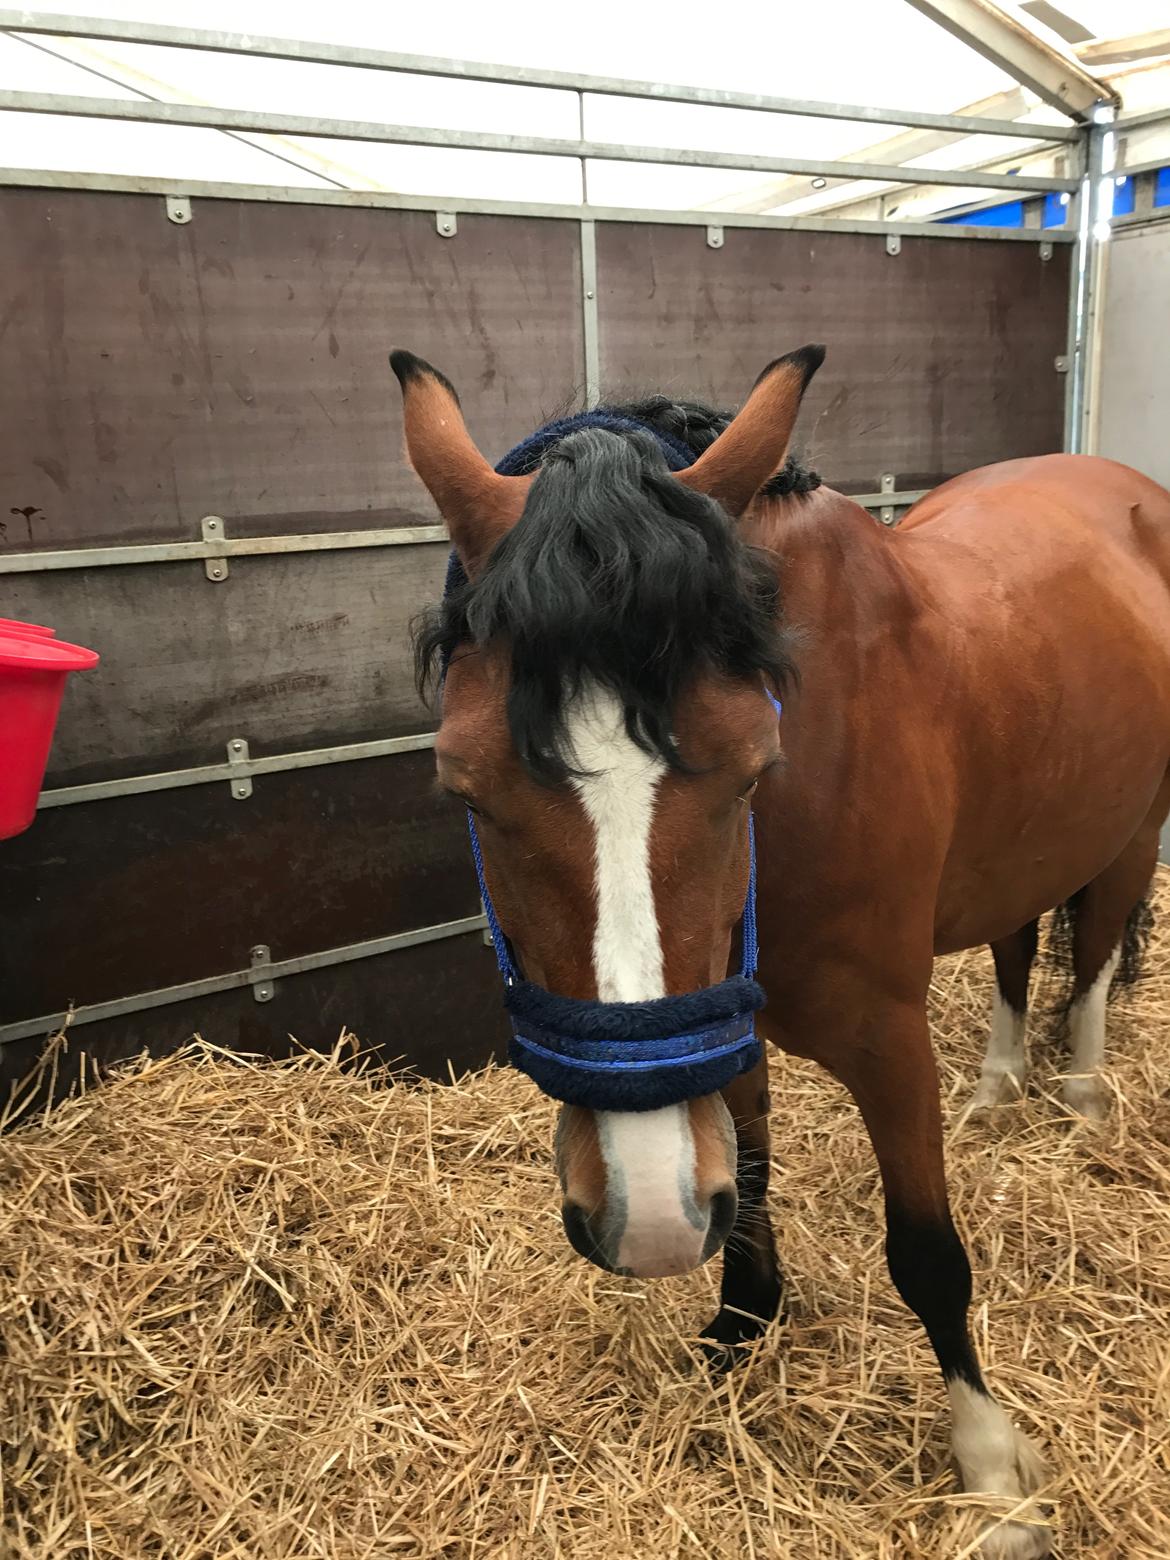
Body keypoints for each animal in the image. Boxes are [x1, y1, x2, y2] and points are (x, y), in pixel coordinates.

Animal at [394, 344, 1170, 1560]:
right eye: (463, 787)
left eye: (757, 766)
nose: (648, 1223)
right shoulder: (731, 1020)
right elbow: (749, 1177)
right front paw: (740, 1322)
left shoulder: (889, 1039)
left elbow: (927, 1254)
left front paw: (992, 1475)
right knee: (1014, 948)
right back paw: (998, 1089)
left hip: (1131, 828)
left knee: (1091, 953)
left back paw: (1084, 1097)